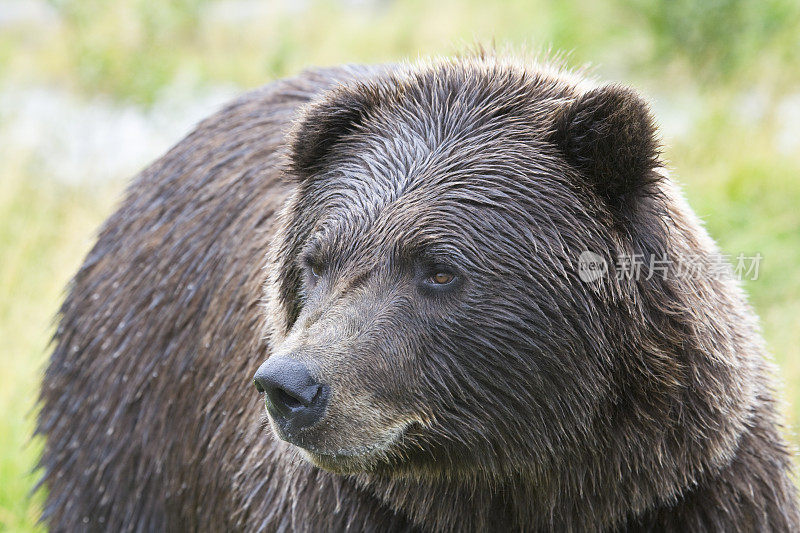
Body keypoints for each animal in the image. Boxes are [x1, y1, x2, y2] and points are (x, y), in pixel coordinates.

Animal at [37, 56, 800, 528]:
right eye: (315, 261)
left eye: (437, 268)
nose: (291, 385)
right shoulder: (346, 505)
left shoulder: (697, 491)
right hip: (134, 431)